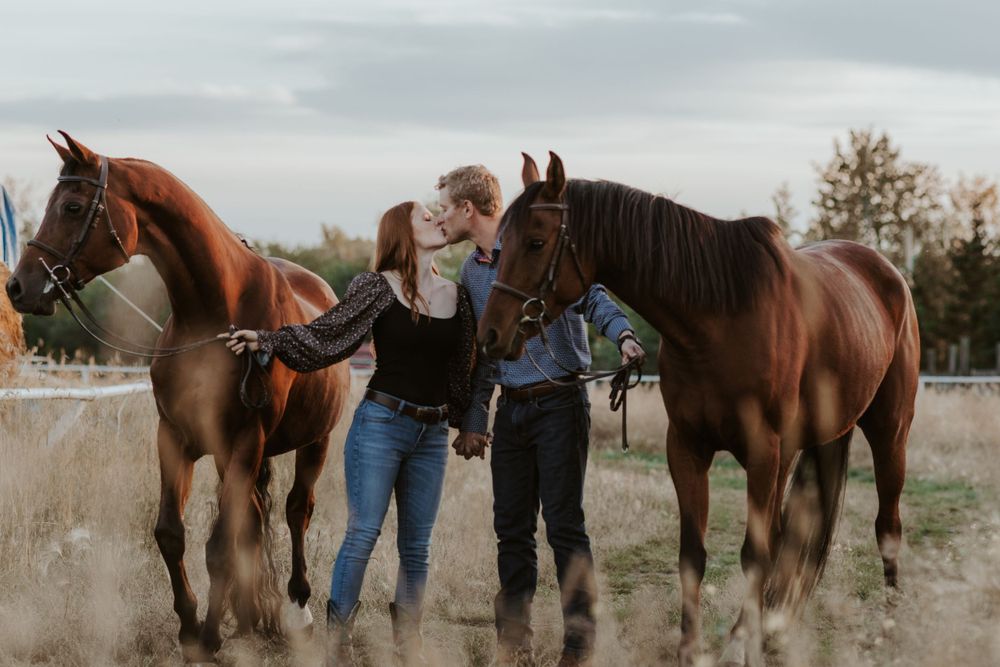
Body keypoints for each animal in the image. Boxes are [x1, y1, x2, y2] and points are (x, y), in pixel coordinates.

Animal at [5, 132, 350, 661]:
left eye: (72, 206)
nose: (19, 286)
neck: (214, 314)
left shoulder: (245, 441)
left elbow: (220, 546)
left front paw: (208, 638)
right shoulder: (175, 438)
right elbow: (172, 534)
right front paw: (190, 628)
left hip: (315, 443)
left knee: (297, 511)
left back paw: (298, 611)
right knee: (254, 521)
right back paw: (248, 618)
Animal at [478, 152, 918, 666]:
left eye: (535, 242)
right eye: (502, 244)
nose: (491, 334)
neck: (719, 317)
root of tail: (887, 272)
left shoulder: (765, 453)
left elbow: (755, 553)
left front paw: (741, 648)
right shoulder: (687, 449)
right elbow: (694, 553)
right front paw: (694, 648)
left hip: (888, 433)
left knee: (886, 527)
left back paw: (886, 630)